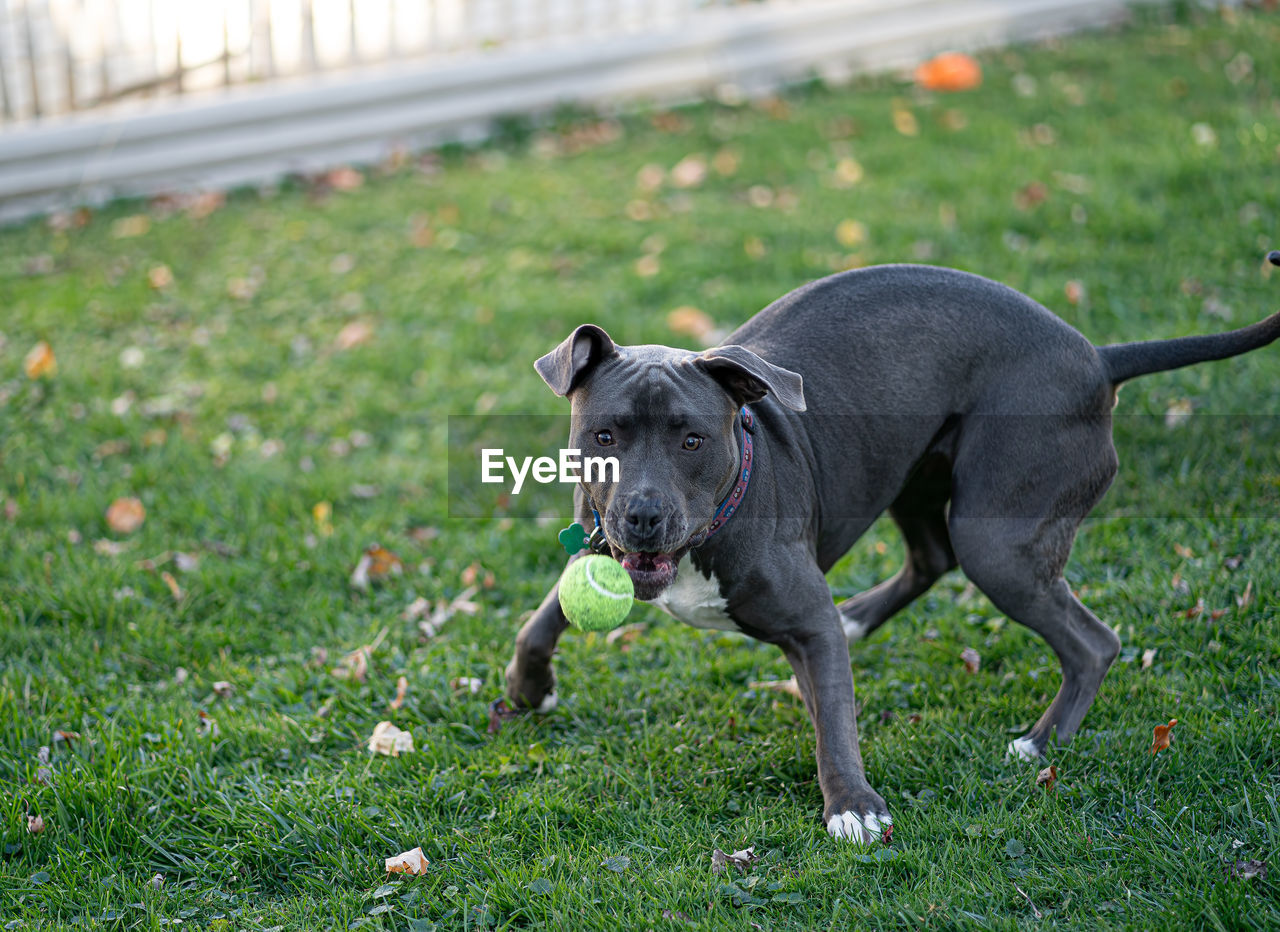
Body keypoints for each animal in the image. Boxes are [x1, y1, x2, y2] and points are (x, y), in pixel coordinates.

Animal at [499, 256, 1280, 844]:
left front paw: (852, 805)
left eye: (692, 439)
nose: (643, 516)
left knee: (1092, 641)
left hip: (998, 536)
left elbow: (835, 724)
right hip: (917, 476)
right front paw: (528, 689)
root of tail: (1097, 356)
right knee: (932, 560)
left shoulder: (805, 623)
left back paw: (1040, 742)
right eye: (604, 435)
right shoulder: (595, 550)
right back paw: (862, 617)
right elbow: (538, 621)